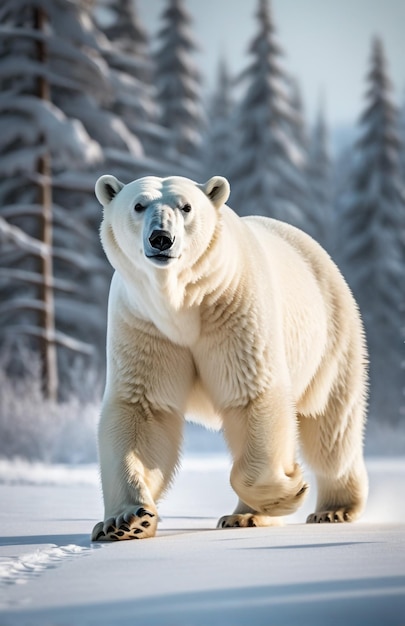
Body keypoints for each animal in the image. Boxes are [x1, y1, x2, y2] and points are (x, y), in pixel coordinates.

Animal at [90, 173, 366, 540]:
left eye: (186, 206)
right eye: (138, 204)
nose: (161, 238)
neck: (180, 302)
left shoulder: (233, 307)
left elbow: (251, 395)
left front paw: (286, 493)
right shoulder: (144, 323)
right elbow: (144, 409)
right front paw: (126, 521)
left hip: (331, 334)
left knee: (331, 429)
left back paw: (332, 510)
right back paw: (246, 516)